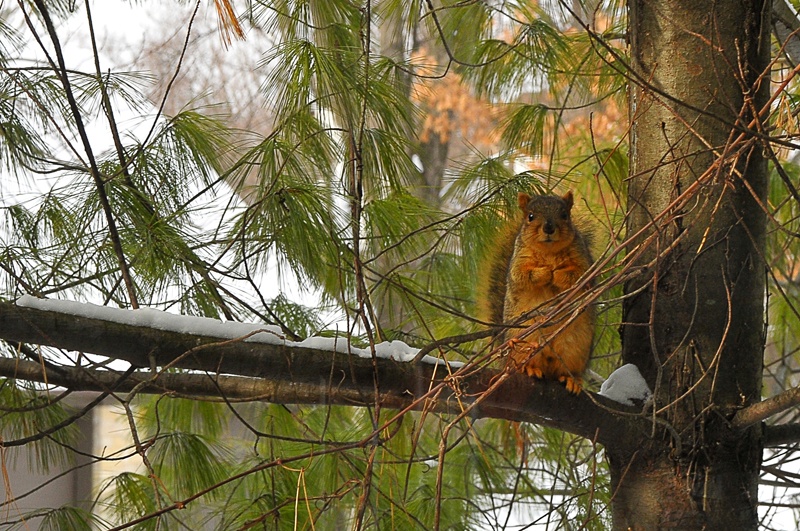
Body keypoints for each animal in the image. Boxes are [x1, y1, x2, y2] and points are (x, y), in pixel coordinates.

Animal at [478, 190, 594, 394]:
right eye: (530, 216)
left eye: (565, 215)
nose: (548, 227)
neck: (549, 252)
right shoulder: (519, 261)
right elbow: (522, 276)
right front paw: (546, 272)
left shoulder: (582, 259)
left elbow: (580, 276)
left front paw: (557, 274)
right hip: (522, 341)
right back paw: (529, 368)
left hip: (577, 348)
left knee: (566, 370)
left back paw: (572, 380)